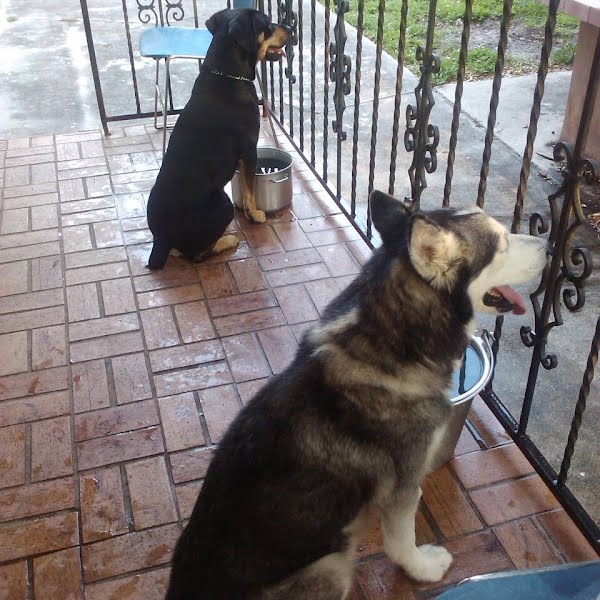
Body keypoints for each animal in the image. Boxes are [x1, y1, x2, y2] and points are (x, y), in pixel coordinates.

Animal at [146, 9, 291, 269]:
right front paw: (255, 215)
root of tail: (162, 240)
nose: (291, 29)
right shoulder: (249, 150)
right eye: (266, 24)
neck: (227, 73)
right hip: (221, 202)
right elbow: (249, 190)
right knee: (197, 254)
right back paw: (228, 240)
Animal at [165, 191, 548, 599]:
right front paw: (424, 568)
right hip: (332, 566)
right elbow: (401, 544)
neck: (390, 339)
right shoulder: (401, 488)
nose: (550, 245)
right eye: (502, 244)